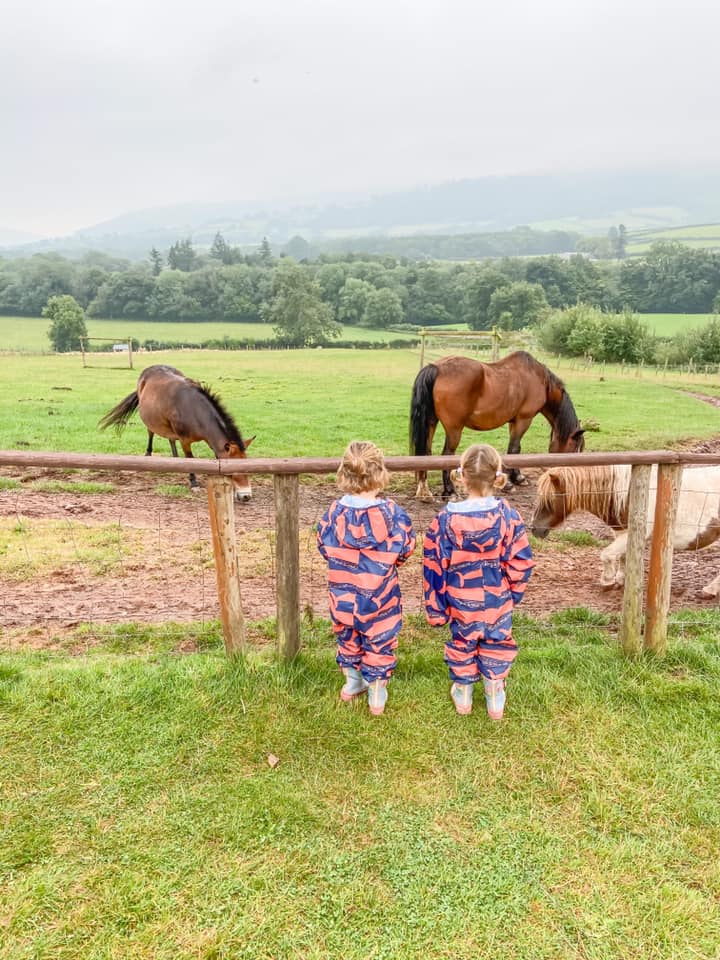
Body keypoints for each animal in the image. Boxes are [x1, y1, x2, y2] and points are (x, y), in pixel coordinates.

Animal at [98, 364, 256, 502]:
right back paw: (149, 454)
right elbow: (190, 459)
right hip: (151, 419)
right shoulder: (185, 440)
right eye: (234, 470)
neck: (195, 411)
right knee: (151, 432)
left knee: (170, 438)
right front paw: (193, 483)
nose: (246, 496)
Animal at [410, 354, 584, 502]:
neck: (539, 379)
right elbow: (514, 449)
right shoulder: (524, 419)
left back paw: (424, 491)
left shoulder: (513, 421)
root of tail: (436, 368)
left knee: (426, 453)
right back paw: (450, 492)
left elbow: (514, 450)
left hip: (431, 423)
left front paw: (515, 478)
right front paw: (512, 482)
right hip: (454, 429)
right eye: (575, 447)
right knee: (446, 455)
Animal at [528, 464, 720, 592]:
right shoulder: (621, 532)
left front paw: (607, 581)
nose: (534, 529)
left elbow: (607, 555)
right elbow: (622, 556)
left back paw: (709, 590)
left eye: (550, 500)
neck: (628, 493)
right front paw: (621, 579)